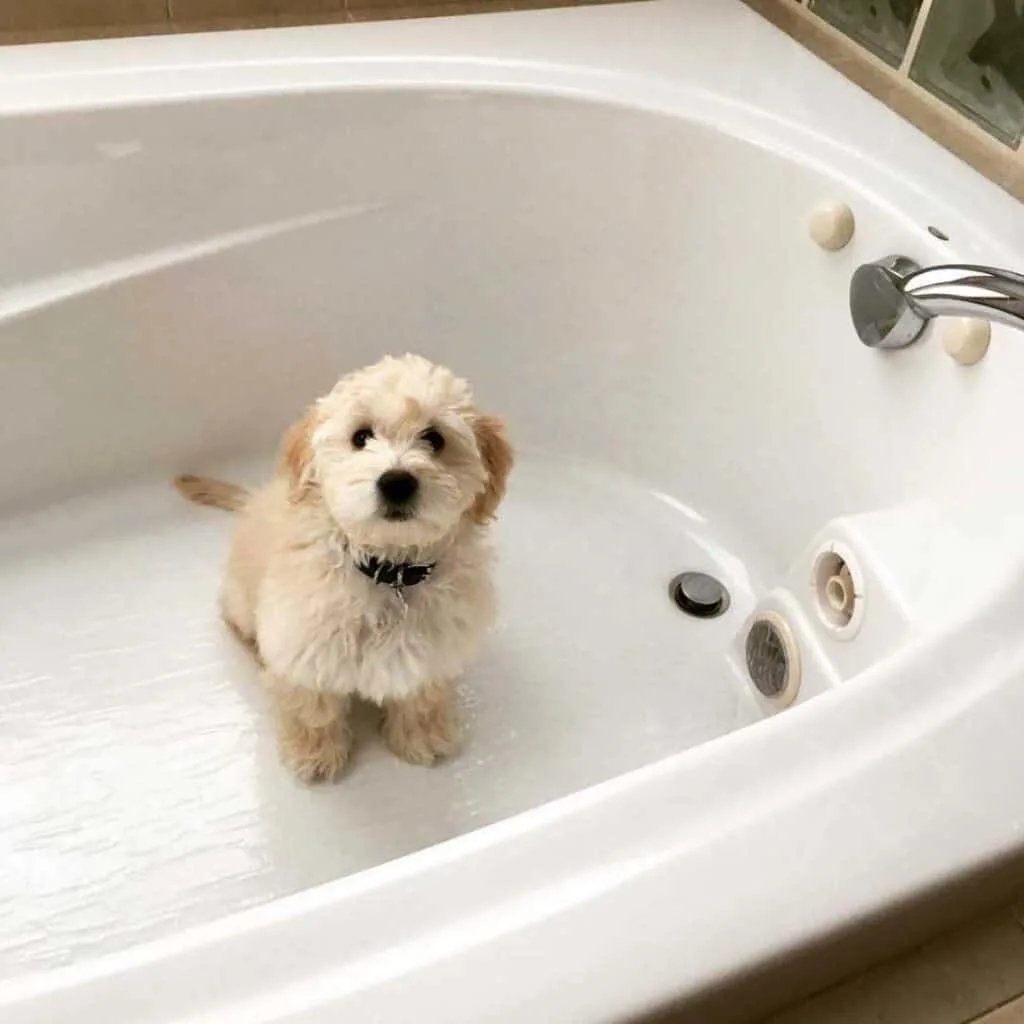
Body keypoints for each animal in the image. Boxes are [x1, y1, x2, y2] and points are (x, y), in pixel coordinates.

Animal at [178, 354, 512, 782]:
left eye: (435, 439)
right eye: (361, 436)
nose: (396, 482)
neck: (389, 572)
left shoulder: (433, 654)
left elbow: (421, 698)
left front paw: (422, 737)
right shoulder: (302, 648)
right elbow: (312, 708)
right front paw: (315, 755)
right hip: (241, 603)